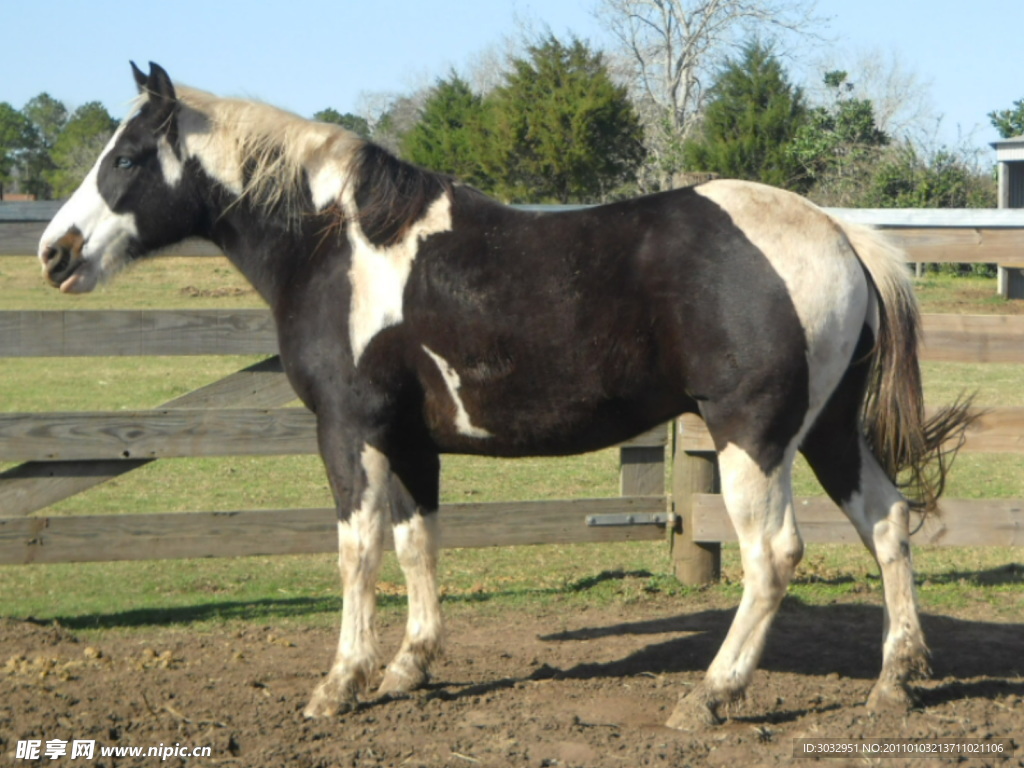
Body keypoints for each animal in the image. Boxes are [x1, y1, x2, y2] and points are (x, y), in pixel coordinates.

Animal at [36, 61, 970, 729]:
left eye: (125, 157)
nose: (54, 252)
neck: (341, 244)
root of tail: (837, 232)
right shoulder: (409, 441)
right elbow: (415, 545)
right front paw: (408, 667)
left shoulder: (350, 431)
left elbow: (357, 550)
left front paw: (340, 684)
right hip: (829, 433)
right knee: (888, 524)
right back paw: (894, 682)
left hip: (754, 437)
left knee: (772, 557)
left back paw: (710, 696)